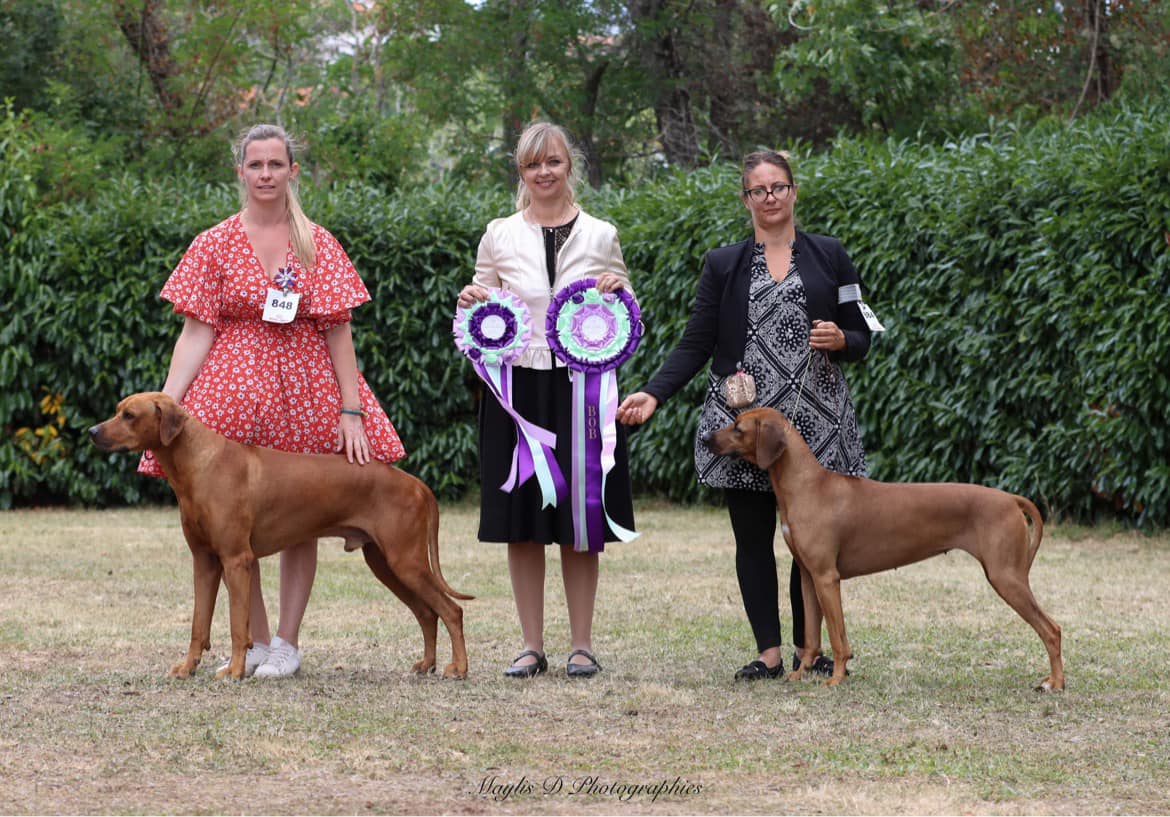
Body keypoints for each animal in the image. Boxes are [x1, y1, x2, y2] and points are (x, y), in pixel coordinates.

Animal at [88, 390, 470, 678]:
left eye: (129, 415)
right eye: (118, 411)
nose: (92, 431)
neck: (199, 462)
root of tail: (416, 483)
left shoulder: (236, 560)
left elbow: (237, 624)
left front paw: (236, 671)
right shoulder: (205, 562)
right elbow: (199, 623)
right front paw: (188, 667)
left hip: (405, 561)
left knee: (451, 611)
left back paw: (458, 668)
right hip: (385, 563)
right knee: (427, 613)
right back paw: (427, 663)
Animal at [702, 404, 1062, 688]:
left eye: (738, 427)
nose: (705, 438)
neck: (807, 485)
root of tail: (1010, 499)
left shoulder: (827, 578)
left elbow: (837, 637)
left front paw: (836, 679)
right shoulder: (808, 576)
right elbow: (811, 637)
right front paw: (799, 674)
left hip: (1005, 576)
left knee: (1052, 629)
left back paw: (1055, 683)